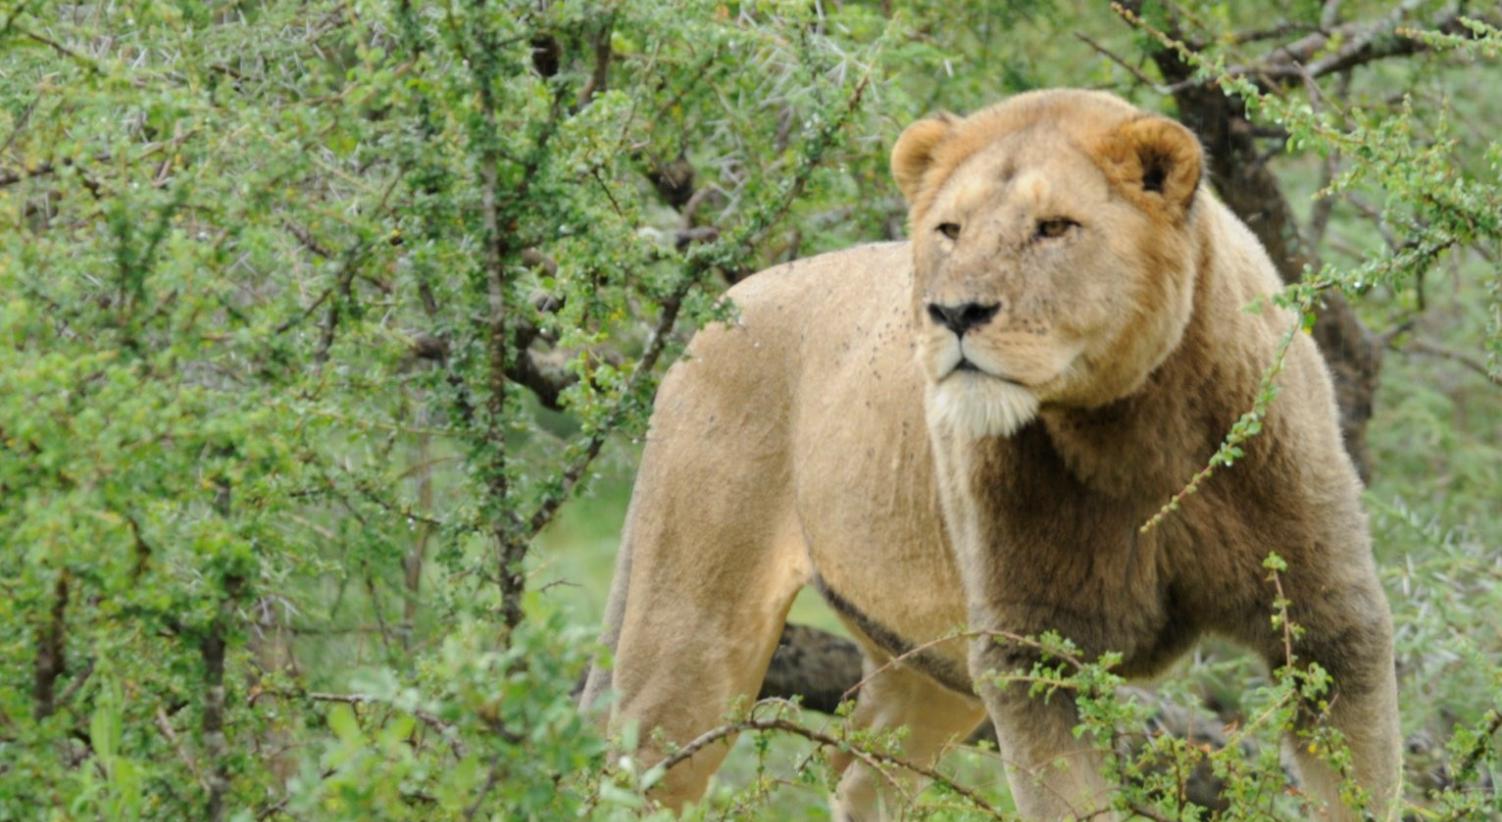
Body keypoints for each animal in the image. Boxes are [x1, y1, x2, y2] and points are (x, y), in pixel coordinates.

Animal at [579, 86, 1399, 817]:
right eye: (949, 229)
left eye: (1055, 227)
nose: (954, 312)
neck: (1132, 431)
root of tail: (721, 307)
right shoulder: (1028, 651)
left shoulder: (1332, 627)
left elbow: (1360, 787)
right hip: (691, 633)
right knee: (635, 769)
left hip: (928, 664)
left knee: (865, 774)